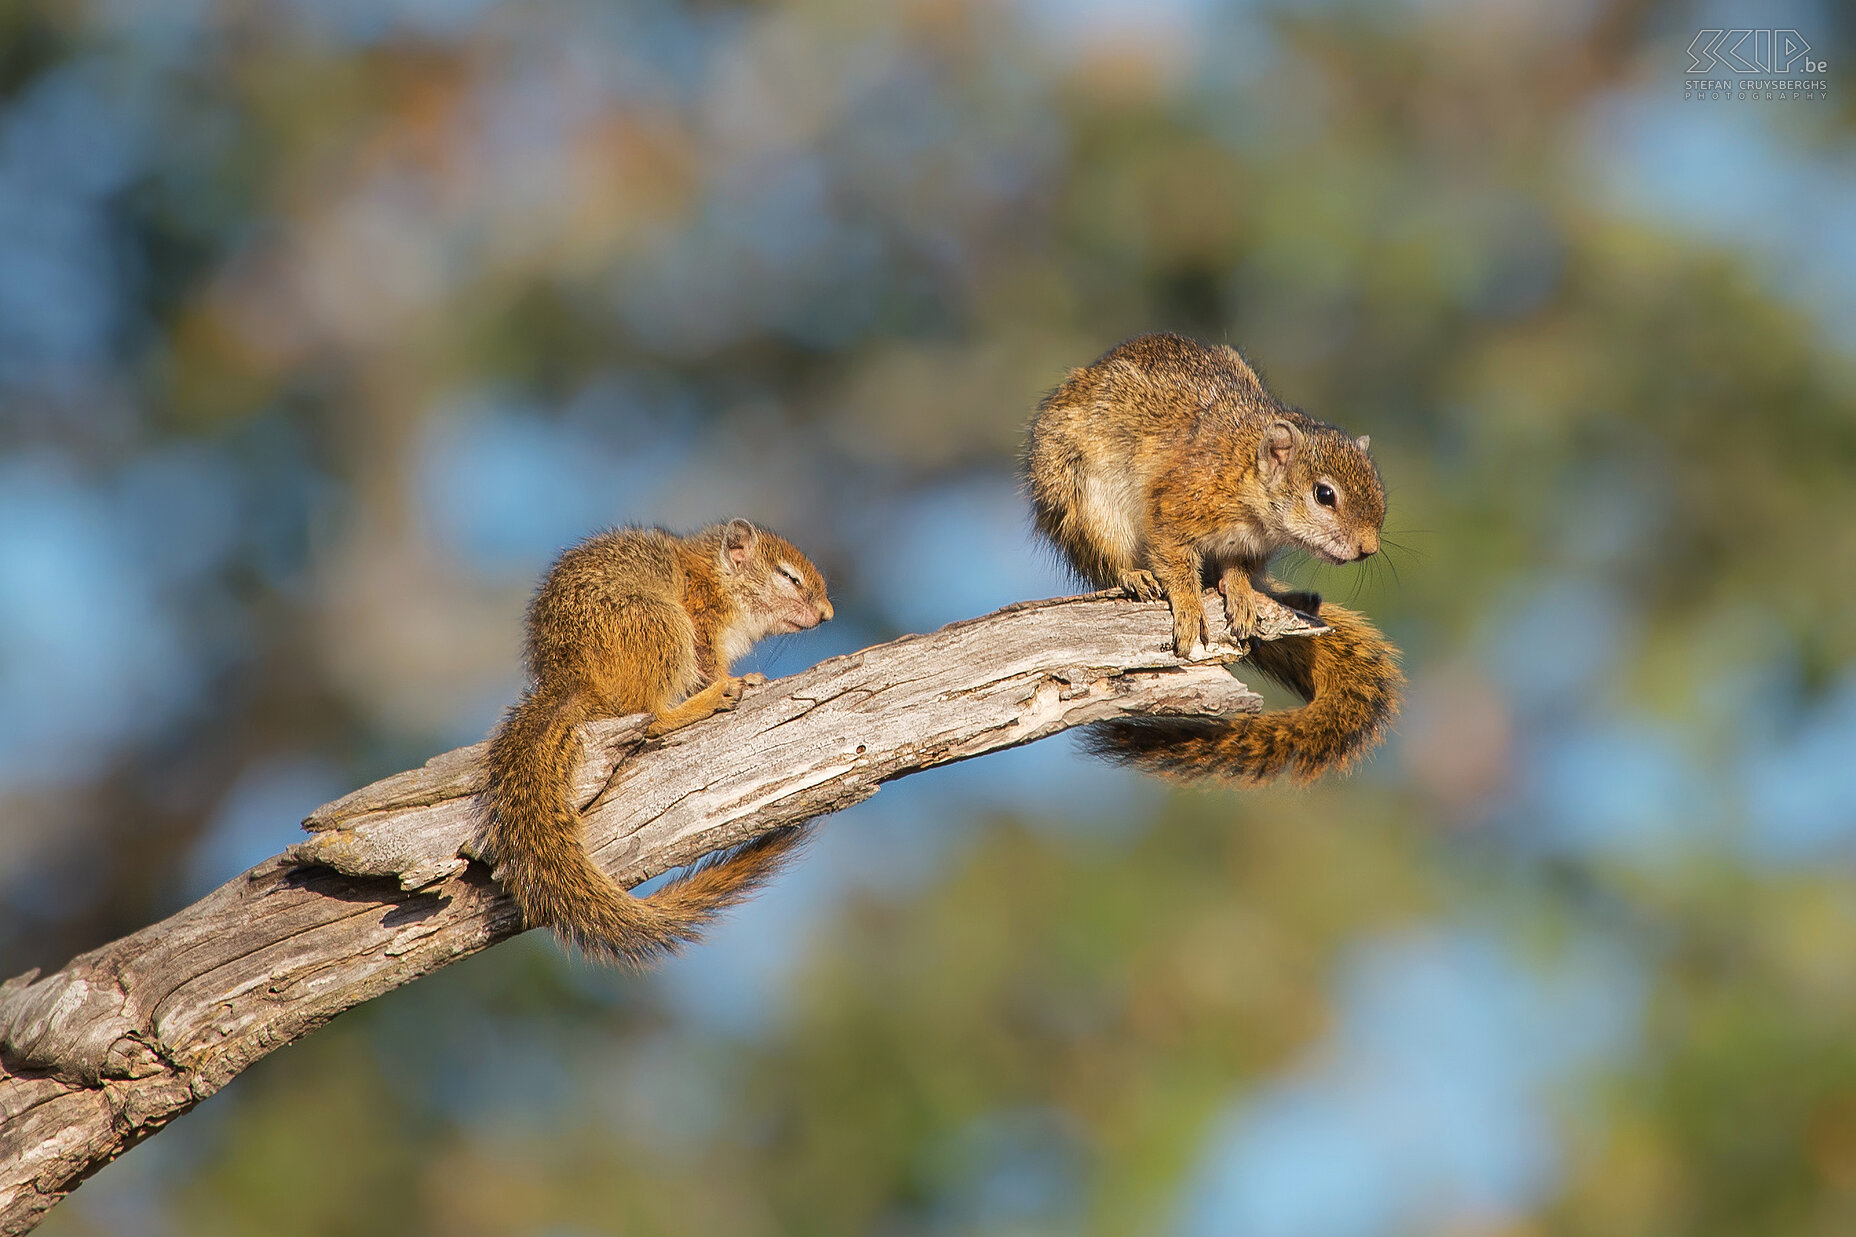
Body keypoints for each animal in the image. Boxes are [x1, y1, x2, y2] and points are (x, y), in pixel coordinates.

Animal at [482, 516, 831, 958]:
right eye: (788, 577)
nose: (828, 613)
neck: (716, 578)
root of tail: (574, 679)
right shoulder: (701, 623)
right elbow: (708, 667)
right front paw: (736, 681)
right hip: (660, 624)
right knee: (650, 717)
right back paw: (708, 701)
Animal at [1024, 330, 1395, 780]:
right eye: (1325, 494)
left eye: (1377, 485)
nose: (1368, 548)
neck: (1243, 469)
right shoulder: (1175, 505)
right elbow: (1175, 561)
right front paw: (1187, 606)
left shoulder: (1247, 548)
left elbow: (1237, 571)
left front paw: (1240, 595)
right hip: (1083, 505)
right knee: (1106, 558)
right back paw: (1133, 576)